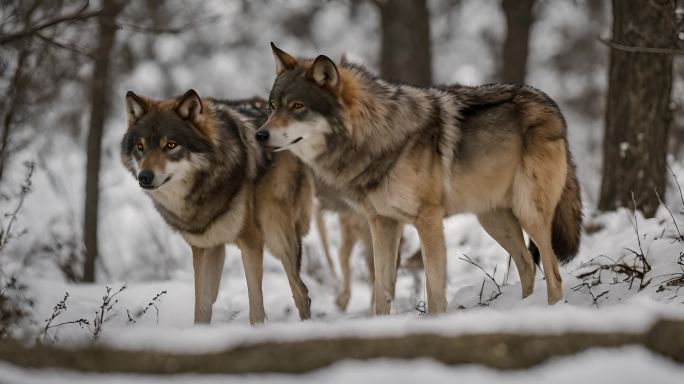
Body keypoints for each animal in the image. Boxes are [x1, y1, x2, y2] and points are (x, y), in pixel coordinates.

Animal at [121, 90, 314, 324]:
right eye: (140, 147)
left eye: (170, 145)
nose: (144, 177)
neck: (205, 186)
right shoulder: (204, 247)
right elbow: (202, 307)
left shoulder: (251, 241)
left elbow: (256, 307)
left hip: (276, 234)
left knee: (301, 291)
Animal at [256, 44, 584, 316]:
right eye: (272, 106)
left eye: (297, 107)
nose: (259, 135)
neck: (376, 134)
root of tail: (552, 105)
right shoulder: (382, 223)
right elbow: (381, 291)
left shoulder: (428, 219)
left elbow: (434, 290)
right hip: (493, 219)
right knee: (527, 265)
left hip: (528, 213)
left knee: (553, 273)